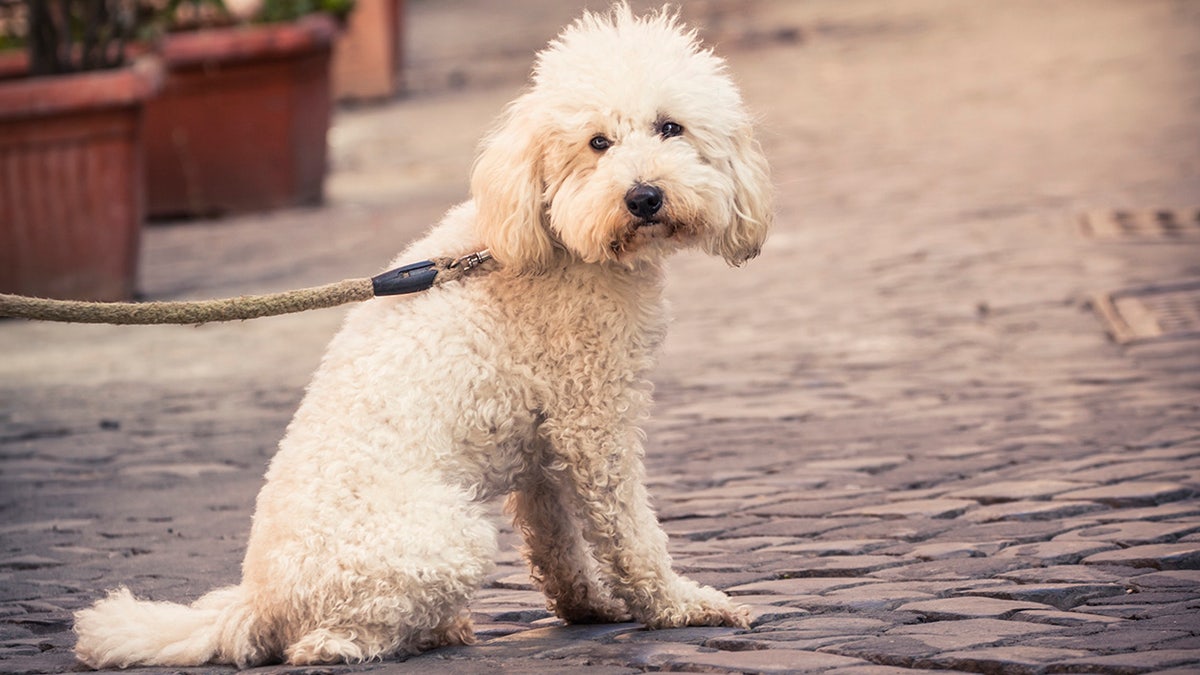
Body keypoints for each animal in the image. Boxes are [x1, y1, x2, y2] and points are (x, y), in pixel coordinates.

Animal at [75, 3, 772, 667]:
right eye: (597, 142)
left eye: (670, 128)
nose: (644, 197)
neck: (556, 243)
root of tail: (258, 603)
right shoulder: (592, 424)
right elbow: (629, 533)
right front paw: (681, 607)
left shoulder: (541, 446)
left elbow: (555, 543)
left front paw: (589, 607)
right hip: (449, 537)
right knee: (321, 643)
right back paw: (387, 639)